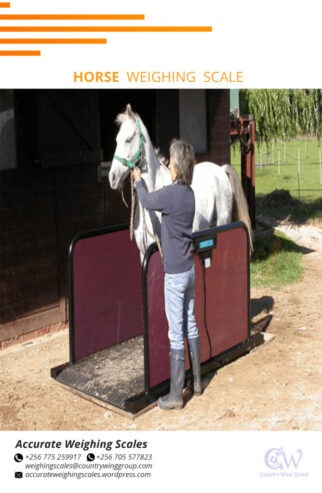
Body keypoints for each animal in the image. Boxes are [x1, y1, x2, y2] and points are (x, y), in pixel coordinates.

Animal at [109, 104, 253, 258]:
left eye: (128, 139)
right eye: (116, 140)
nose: (112, 178)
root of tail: (220, 169)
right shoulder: (143, 253)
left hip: (222, 222)